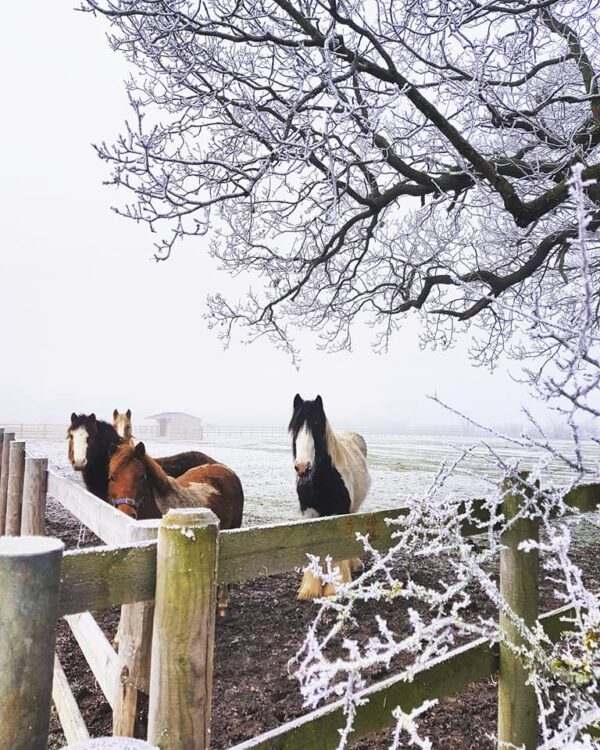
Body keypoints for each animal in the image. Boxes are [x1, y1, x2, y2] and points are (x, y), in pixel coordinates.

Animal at [289, 394, 370, 600]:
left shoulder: (339, 513)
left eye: (317, 425)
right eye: (294, 427)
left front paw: (334, 588)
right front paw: (310, 589)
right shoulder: (309, 514)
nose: (302, 467)